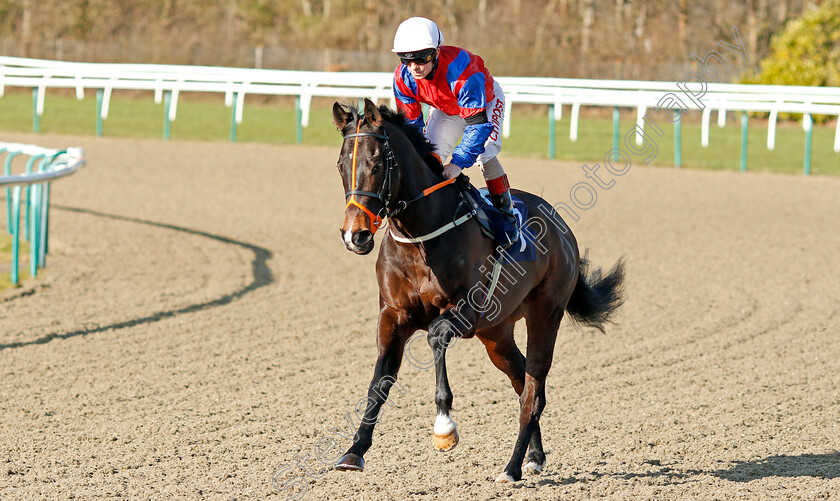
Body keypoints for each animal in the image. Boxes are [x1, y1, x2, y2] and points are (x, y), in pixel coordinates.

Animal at [330, 98, 624, 480]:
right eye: (340, 165)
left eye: (378, 164)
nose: (356, 235)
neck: (420, 236)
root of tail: (562, 228)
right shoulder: (393, 315)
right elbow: (379, 382)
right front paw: (354, 451)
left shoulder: (466, 311)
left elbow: (435, 336)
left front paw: (444, 428)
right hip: (497, 334)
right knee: (521, 379)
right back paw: (534, 456)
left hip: (545, 315)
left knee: (533, 392)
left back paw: (512, 467)